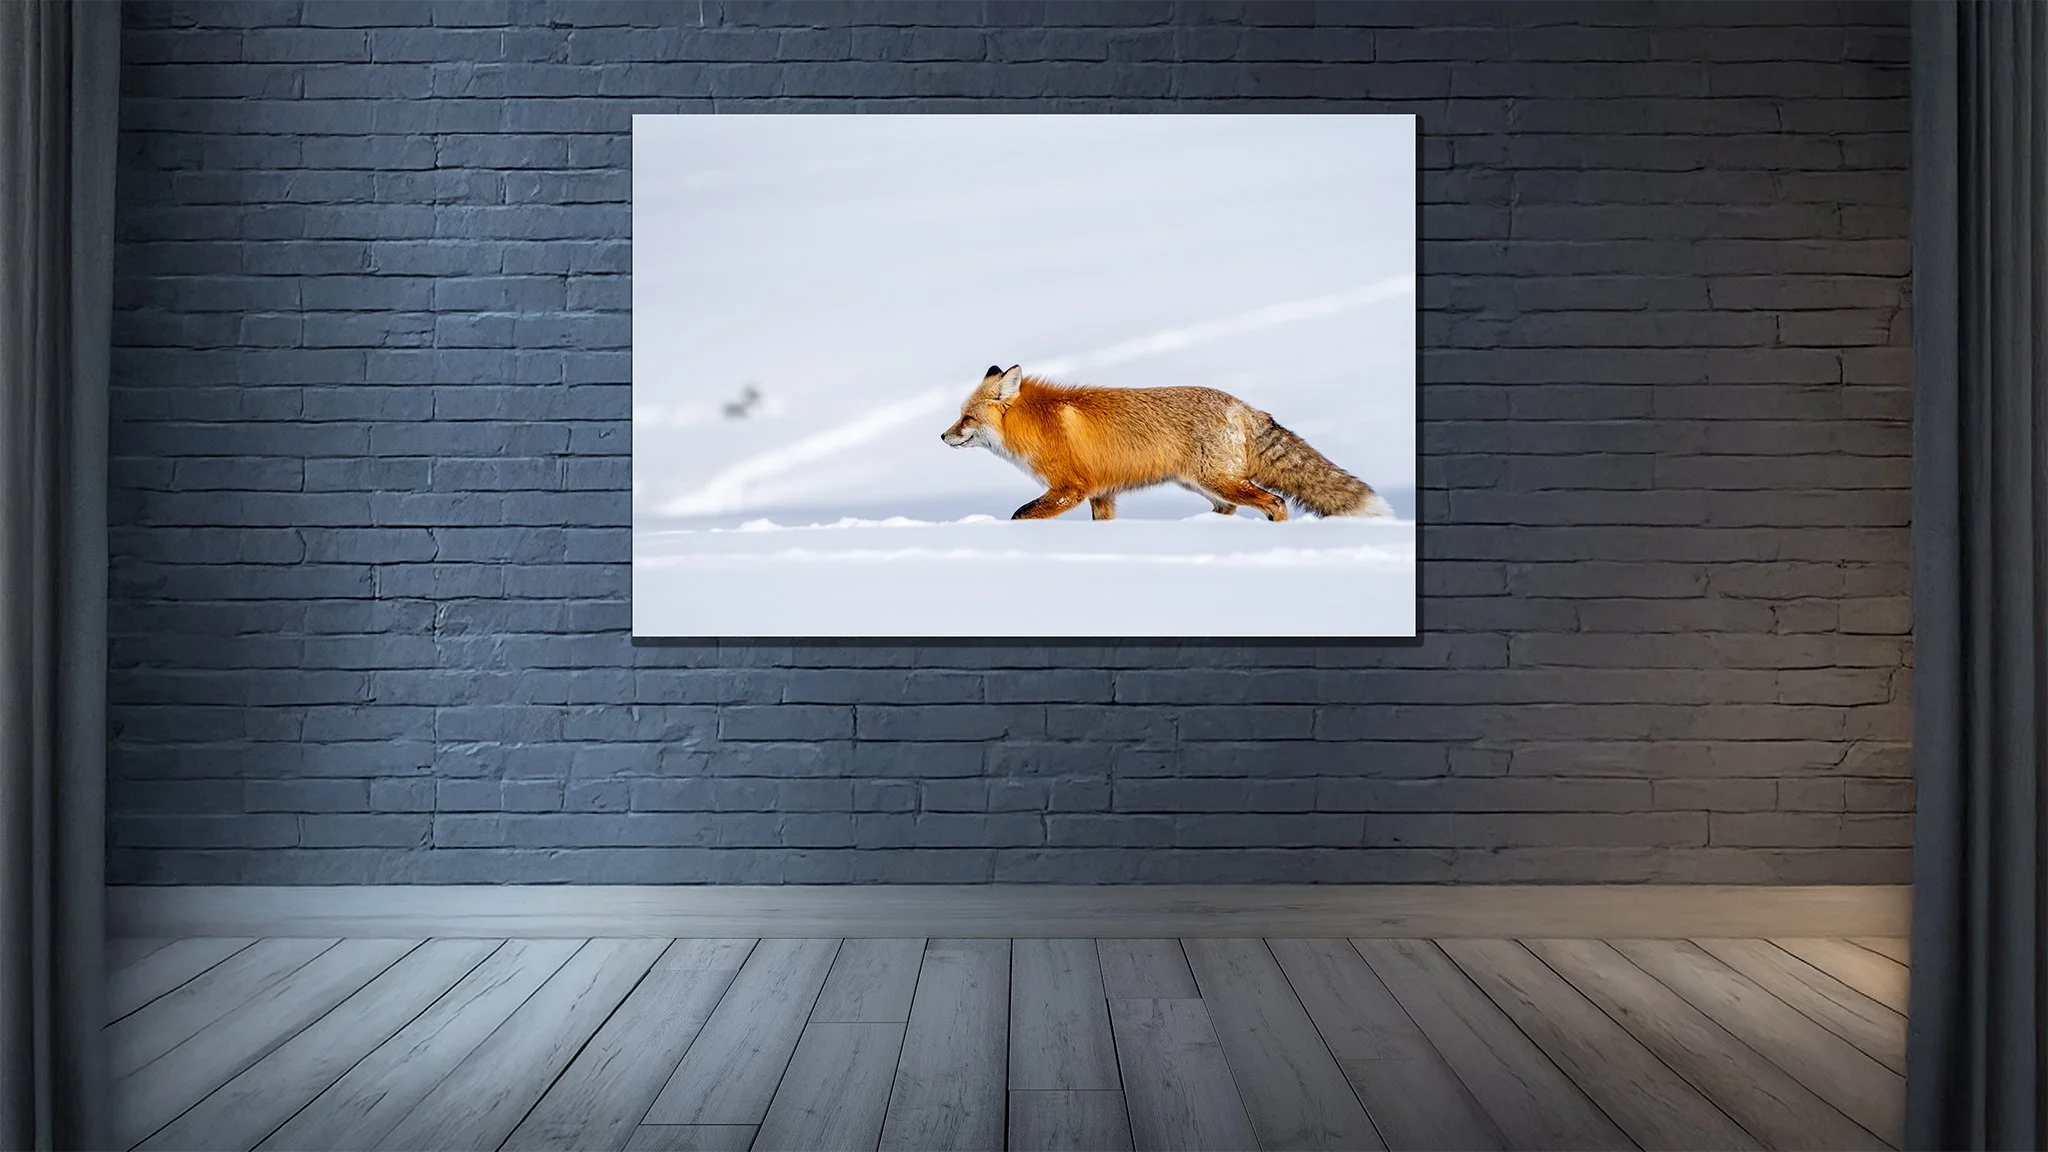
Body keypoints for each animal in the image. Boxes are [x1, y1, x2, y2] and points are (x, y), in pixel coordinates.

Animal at [941, 364, 1393, 522]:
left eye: (966, 418)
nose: (943, 436)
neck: (1039, 424)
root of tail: (1243, 406)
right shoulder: (1102, 494)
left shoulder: (1071, 489)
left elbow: (1020, 515)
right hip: (1206, 487)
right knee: (1231, 510)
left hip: (1219, 482)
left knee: (1276, 502)